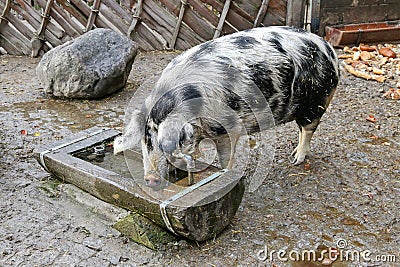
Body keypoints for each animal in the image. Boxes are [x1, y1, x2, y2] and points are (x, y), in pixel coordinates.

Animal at [114, 26, 340, 187]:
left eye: (167, 142)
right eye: (146, 140)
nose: (150, 179)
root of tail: (328, 49)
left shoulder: (227, 127)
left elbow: (225, 156)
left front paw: (226, 175)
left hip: (317, 101)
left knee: (308, 129)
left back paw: (296, 160)